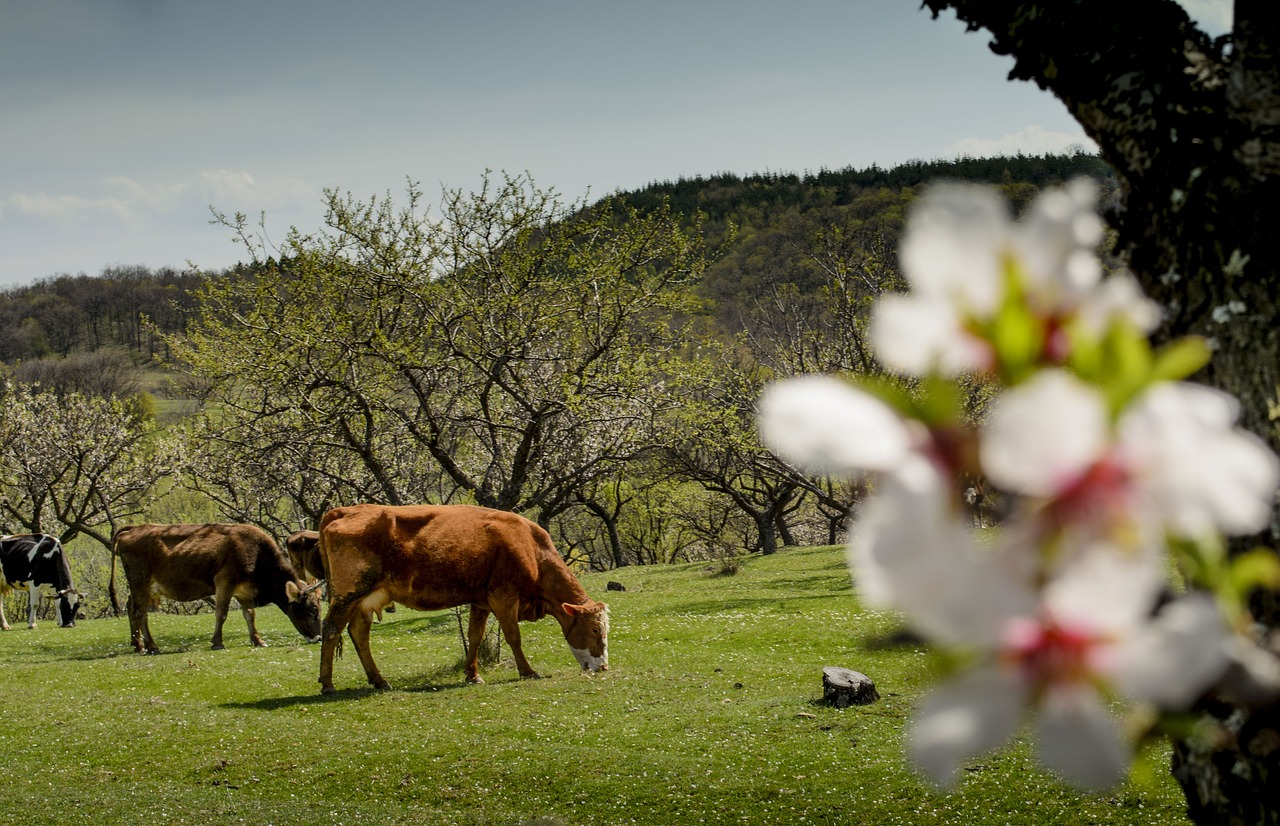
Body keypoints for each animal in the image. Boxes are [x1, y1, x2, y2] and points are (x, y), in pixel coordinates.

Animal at [111, 522, 325, 650]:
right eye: (313, 609)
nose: (318, 638)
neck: (255, 553)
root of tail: (134, 528)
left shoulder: (244, 591)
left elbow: (250, 615)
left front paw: (258, 640)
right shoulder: (225, 582)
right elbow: (221, 613)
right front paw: (217, 642)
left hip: (141, 587)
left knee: (131, 607)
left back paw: (137, 644)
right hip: (140, 582)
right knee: (140, 612)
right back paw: (152, 646)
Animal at [313, 502, 604, 691]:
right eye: (595, 629)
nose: (603, 667)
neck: (531, 548)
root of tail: (343, 511)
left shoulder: (481, 600)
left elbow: (475, 636)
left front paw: (473, 675)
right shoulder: (504, 596)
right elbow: (513, 636)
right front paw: (528, 671)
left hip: (364, 598)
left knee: (358, 632)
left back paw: (379, 680)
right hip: (348, 593)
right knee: (331, 629)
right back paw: (327, 684)